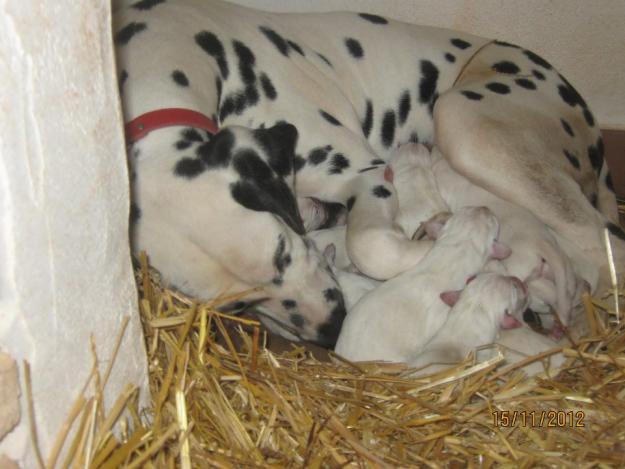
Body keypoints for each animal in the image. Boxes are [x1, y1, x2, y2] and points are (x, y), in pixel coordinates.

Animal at [113, 0, 624, 348]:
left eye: (284, 251)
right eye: (236, 306)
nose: (330, 328)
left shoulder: (364, 172)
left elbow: (371, 243)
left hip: (469, 125)